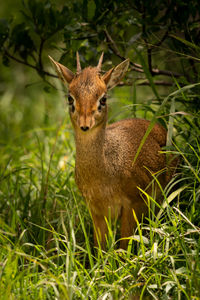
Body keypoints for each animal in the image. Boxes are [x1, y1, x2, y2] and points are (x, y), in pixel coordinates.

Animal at [49, 52, 174, 250]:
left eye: (103, 98)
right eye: (70, 98)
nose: (85, 125)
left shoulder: (132, 205)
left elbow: (124, 247)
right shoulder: (96, 211)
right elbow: (100, 249)